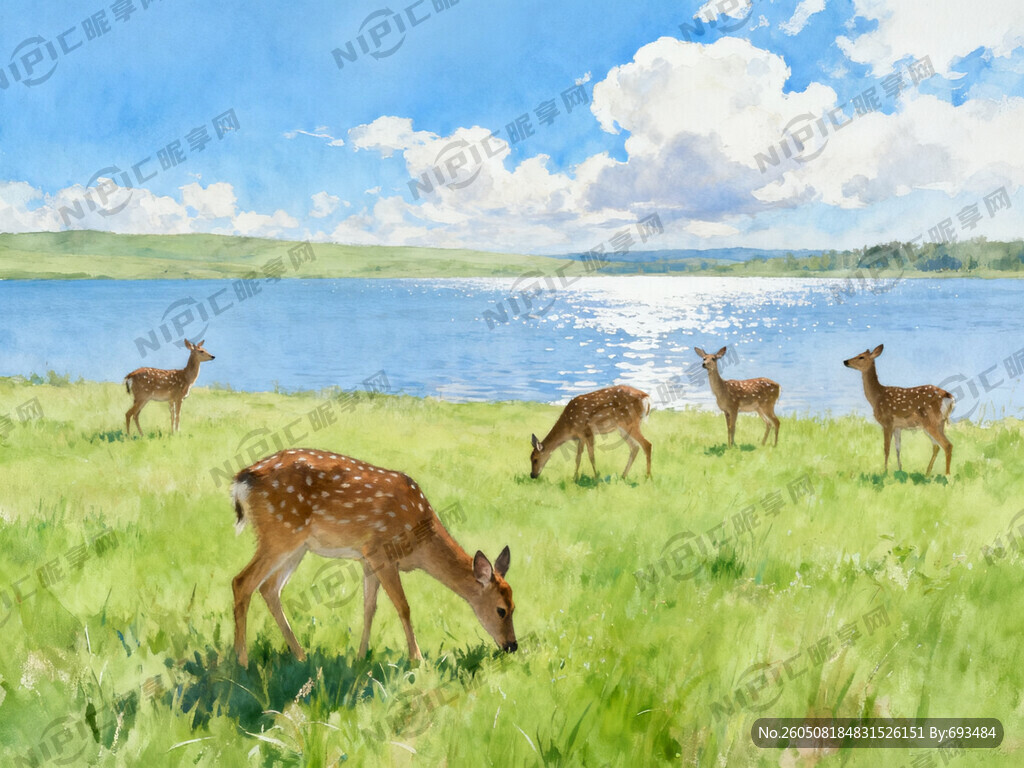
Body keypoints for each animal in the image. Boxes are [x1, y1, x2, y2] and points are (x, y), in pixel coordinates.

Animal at [230, 449, 516, 667]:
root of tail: (241, 480)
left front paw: (360, 657)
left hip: (297, 546)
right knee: (242, 582)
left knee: (269, 587)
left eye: (515, 607)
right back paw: (242, 662)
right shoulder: (382, 552)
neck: (420, 539)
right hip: (280, 532)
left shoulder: (367, 559)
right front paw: (417, 659)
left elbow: (369, 608)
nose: (512, 646)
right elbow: (403, 606)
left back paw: (300, 656)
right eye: (501, 610)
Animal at [843, 344, 954, 475]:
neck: (877, 397)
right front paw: (900, 470)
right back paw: (927, 473)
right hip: (937, 423)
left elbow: (886, 448)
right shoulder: (898, 426)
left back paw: (947, 475)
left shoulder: (887, 422)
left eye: (861, 357)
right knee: (937, 446)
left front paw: (885, 472)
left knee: (947, 445)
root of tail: (949, 396)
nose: (845, 361)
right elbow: (897, 448)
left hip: (931, 422)